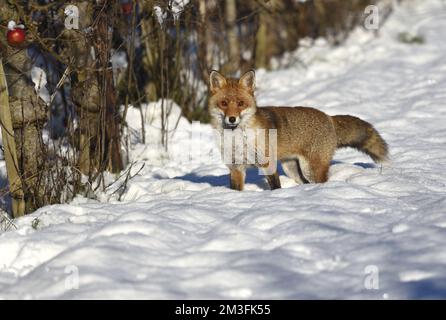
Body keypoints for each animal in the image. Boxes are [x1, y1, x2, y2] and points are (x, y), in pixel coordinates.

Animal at [208, 70, 386, 190]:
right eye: (223, 103)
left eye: (240, 103)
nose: (232, 119)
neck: (237, 139)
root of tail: (328, 117)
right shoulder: (235, 167)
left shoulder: (267, 164)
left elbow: (275, 186)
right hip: (291, 169)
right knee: (304, 183)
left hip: (310, 168)